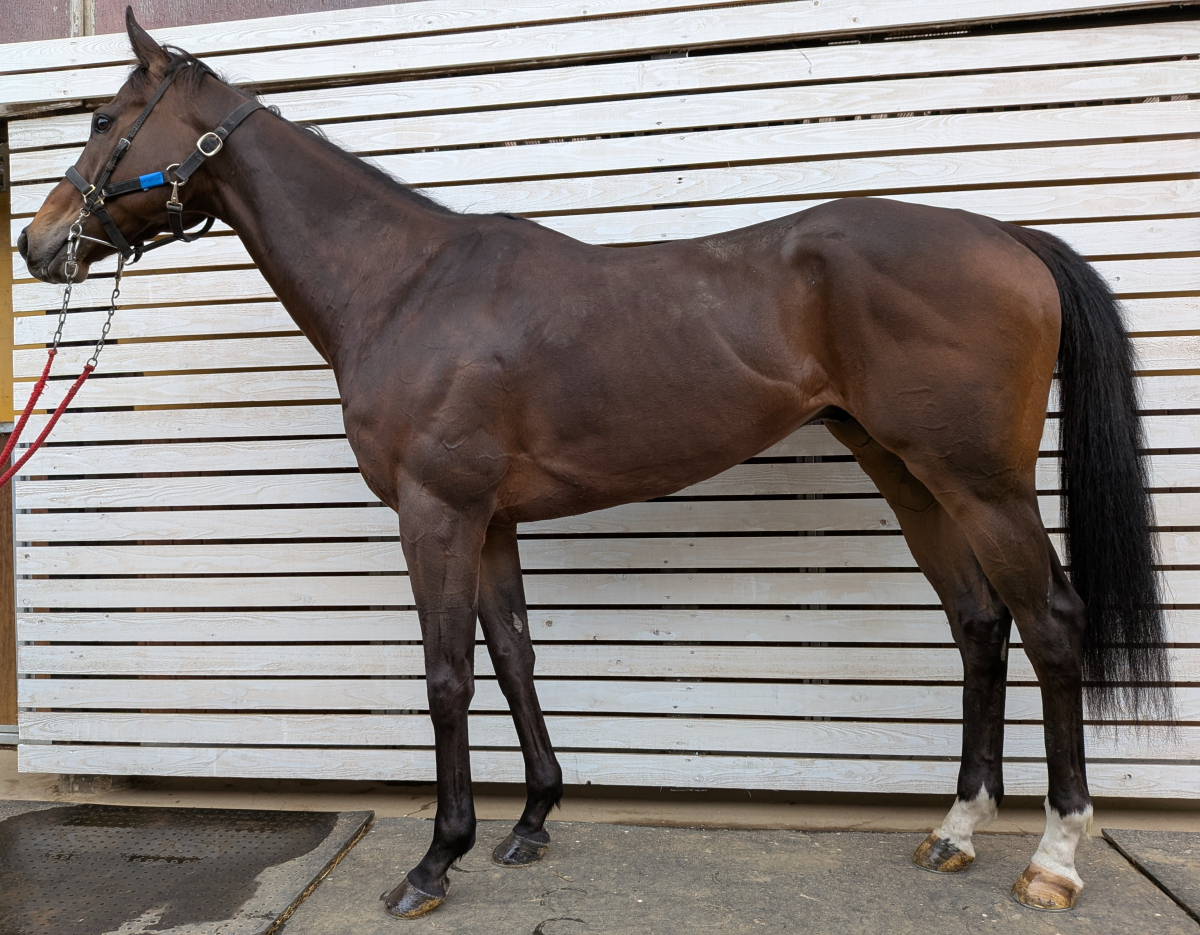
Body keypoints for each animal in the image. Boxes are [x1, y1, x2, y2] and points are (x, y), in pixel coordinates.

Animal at [19, 10, 1171, 919]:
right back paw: (956, 828)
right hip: (908, 473)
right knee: (978, 624)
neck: (405, 285)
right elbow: (516, 656)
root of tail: (1007, 237)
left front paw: (435, 860)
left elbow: (448, 674)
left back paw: (1054, 857)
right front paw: (531, 819)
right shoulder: (490, 520)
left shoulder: (436, 513)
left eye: (102, 121)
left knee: (1050, 622)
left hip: (982, 482)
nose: (37, 244)